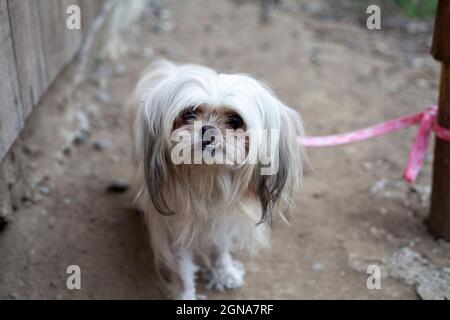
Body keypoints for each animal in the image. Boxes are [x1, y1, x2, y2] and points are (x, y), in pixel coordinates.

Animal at [127, 58, 302, 298]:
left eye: (235, 120)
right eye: (189, 115)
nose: (207, 129)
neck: (208, 176)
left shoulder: (224, 219)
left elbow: (221, 248)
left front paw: (225, 272)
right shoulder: (176, 229)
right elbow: (184, 271)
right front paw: (187, 295)